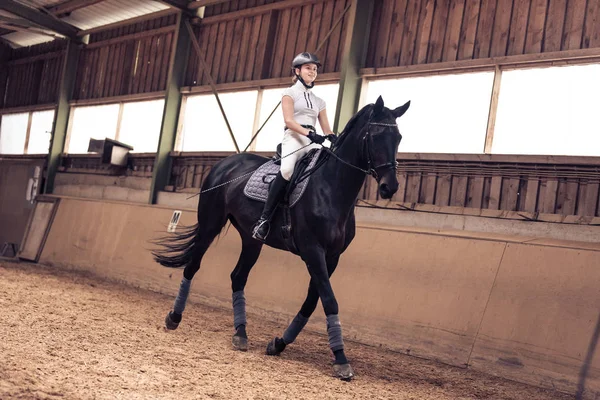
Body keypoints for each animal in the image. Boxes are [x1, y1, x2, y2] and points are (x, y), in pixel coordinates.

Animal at [152, 95, 410, 380]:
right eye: (375, 136)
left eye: (398, 137)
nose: (390, 187)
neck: (332, 188)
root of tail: (224, 164)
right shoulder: (313, 251)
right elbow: (329, 300)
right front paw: (341, 359)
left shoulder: (332, 256)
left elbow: (312, 301)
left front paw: (278, 343)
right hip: (211, 225)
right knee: (193, 266)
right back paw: (174, 318)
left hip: (252, 239)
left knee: (238, 276)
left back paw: (241, 334)